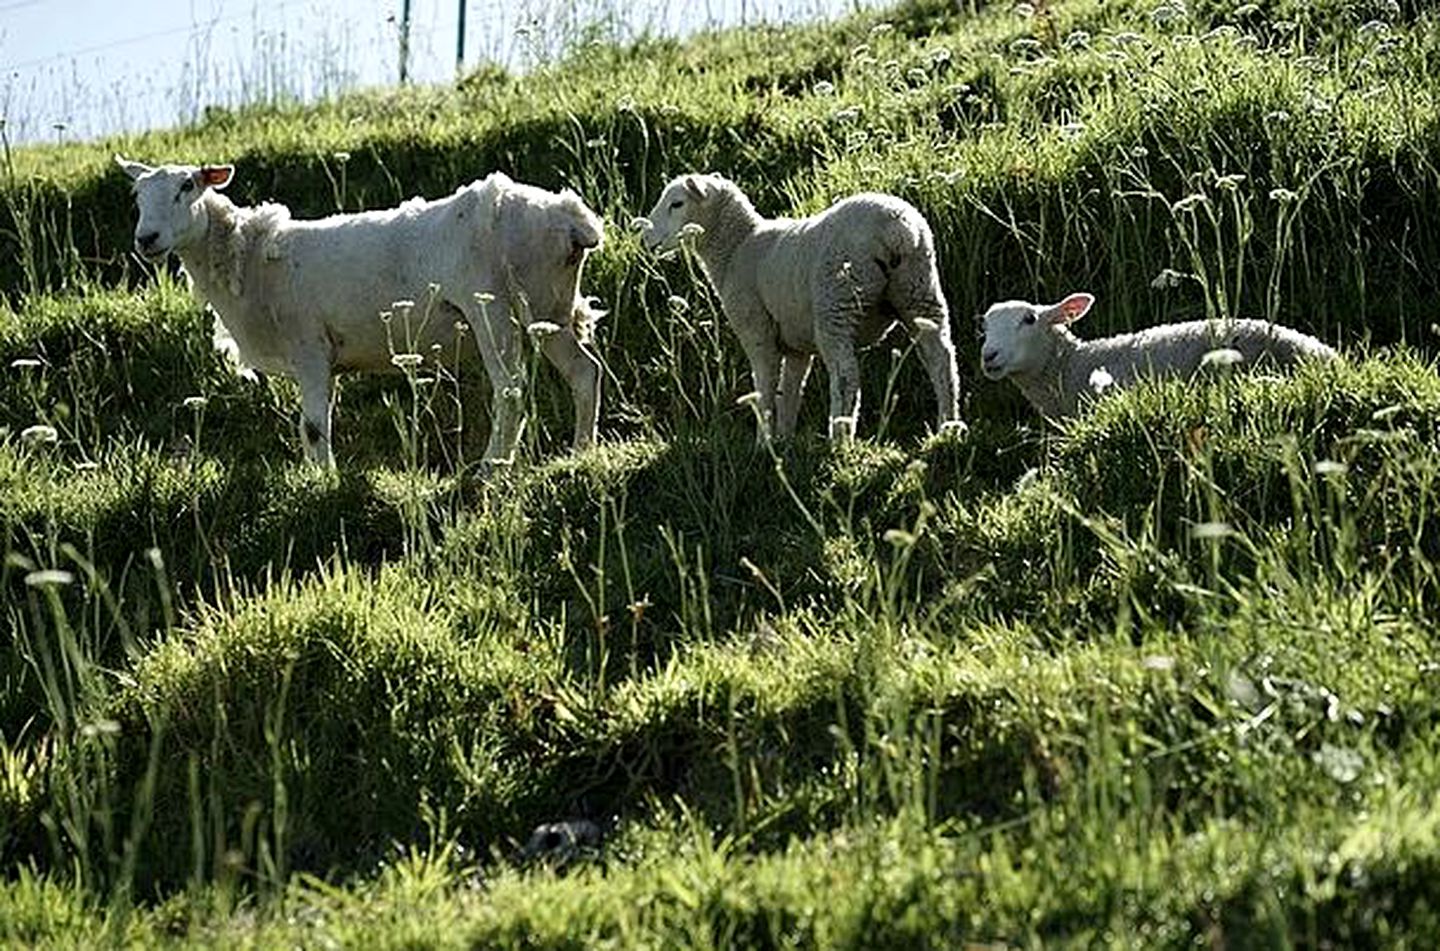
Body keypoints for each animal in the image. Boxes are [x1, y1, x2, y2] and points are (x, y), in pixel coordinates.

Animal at [115, 156, 604, 466]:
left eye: (187, 186)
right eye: (137, 196)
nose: (146, 239)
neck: (249, 260)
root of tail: (569, 216)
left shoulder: (309, 346)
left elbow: (312, 426)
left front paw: (321, 483)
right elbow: (315, 426)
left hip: (493, 307)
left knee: (511, 390)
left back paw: (491, 467)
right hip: (548, 307)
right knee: (584, 372)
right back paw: (581, 451)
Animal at [639, 172, 956, 440]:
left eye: (676, 204)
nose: (646, 239)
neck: (736, 246)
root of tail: (898, 228)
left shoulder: (756, 328)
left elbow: (765, 384)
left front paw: (763, 441)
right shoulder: (796, 344)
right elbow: (790, 390)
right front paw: (784, 439)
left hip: (836, 304)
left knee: (845, 376)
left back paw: (840, 437)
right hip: (920, 291)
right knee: (942, 360)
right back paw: (948, 427)